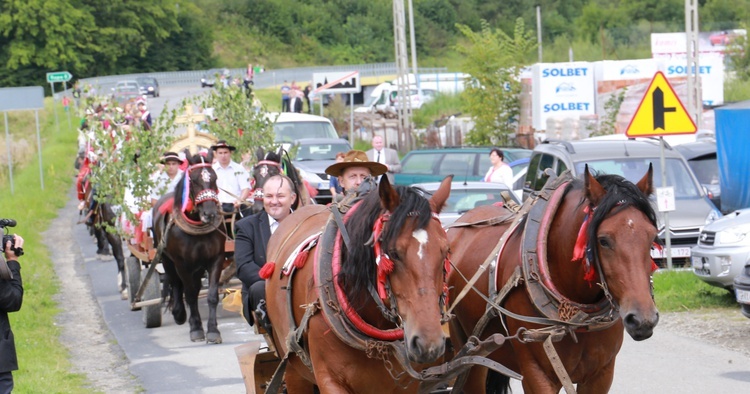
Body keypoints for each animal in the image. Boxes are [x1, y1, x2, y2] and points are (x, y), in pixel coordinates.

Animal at [151, 149, 225, 344]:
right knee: (176, 283)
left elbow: (212, 295)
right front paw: (196, 328)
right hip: (167, 260)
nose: (210, 213)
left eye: (214, 178)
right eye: (194, 179)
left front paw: (213, 331)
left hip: (197, 266)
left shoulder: (216, 259)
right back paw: (179, 313)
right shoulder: (181, 263)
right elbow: (190, 294)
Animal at [450, 167, 660, 394]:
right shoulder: (537, 373)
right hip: (469, 352)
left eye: (652, 238)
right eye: (603, 240)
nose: (643, 319)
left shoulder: (601, 374)